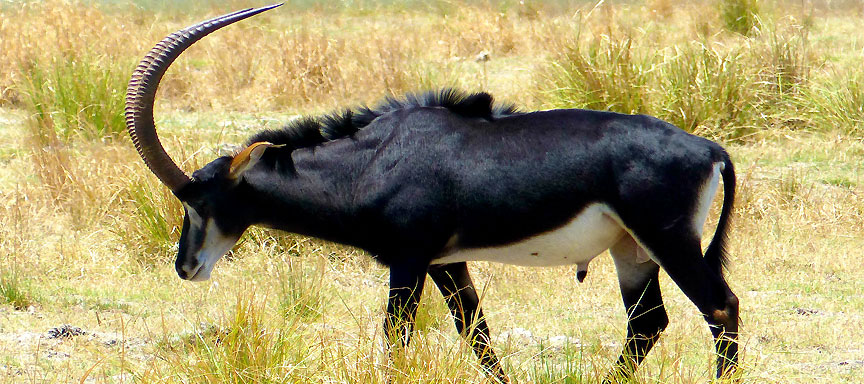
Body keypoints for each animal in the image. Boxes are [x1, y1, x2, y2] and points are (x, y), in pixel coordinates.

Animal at [125, 4, 740, 382]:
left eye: (197, 201)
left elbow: (396, 337)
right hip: (630, 251)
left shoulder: (409, 258)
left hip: (668, 241)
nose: (186, 267)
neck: (371, 160)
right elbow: (477, 334)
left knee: (719, 306)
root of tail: (708, 148)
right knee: (647, 323)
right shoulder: (448, 263)